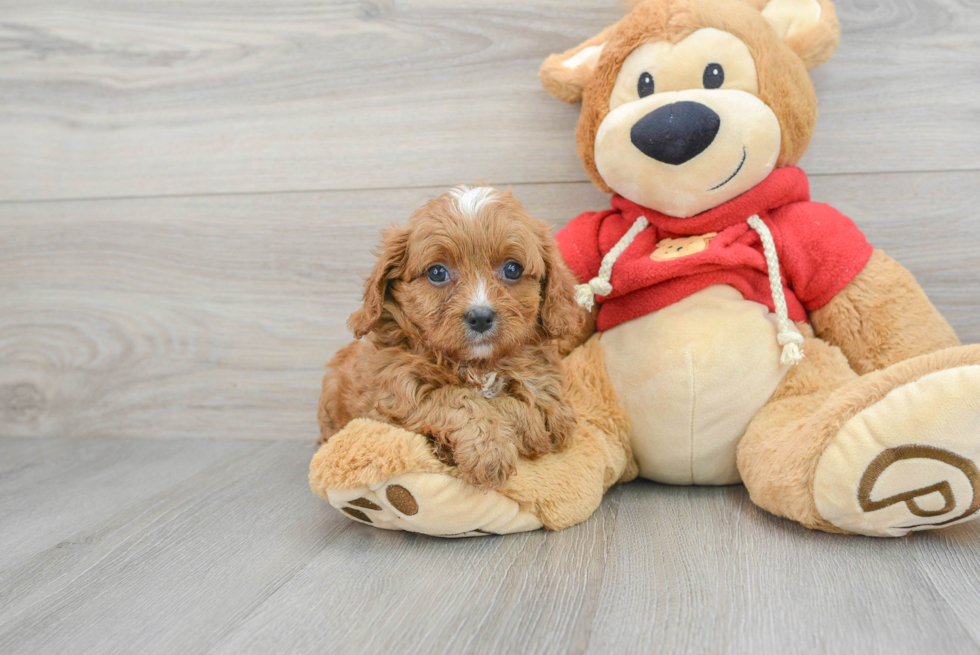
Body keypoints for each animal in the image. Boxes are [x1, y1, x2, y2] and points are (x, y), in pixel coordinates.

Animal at [320, 187, 580, 490]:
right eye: (437, 272)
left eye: (513, 269)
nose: (480, 317)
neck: (477, 365)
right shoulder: (393, 398)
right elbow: (455, 398)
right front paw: (490, 450)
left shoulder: (551, 394)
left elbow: (538, 404)